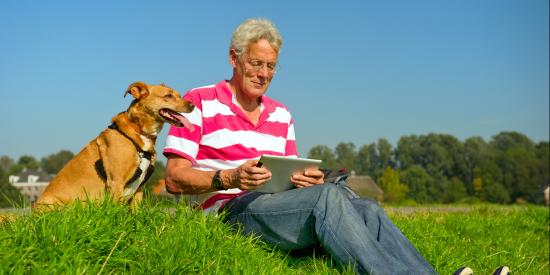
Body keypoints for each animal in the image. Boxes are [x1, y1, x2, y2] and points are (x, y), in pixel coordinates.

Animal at [35, 83, 195, 208]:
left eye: (179, 95)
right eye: (168, 96)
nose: (193, 105)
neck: (138, 132)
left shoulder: (139, 189)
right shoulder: (116, 181)